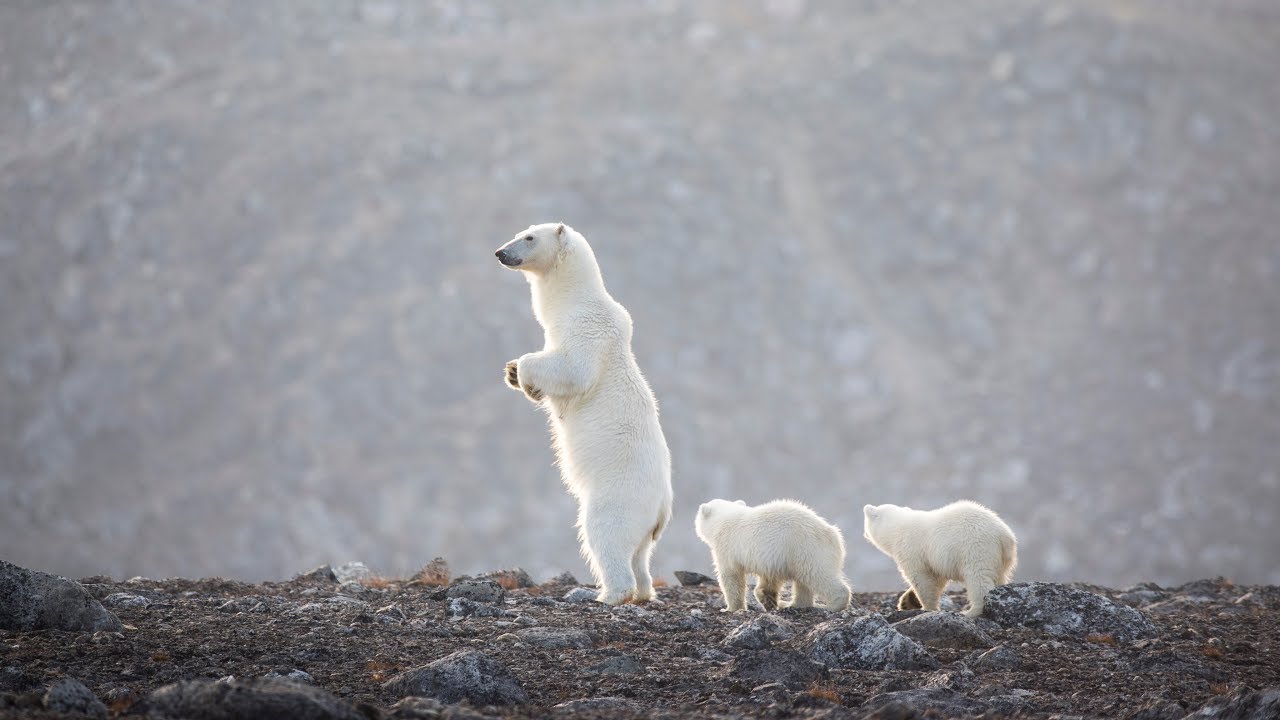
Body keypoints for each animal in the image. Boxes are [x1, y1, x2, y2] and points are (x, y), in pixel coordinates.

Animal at [491, 221, 675, 602]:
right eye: (521, 231)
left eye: (529, 237)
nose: (500, 253)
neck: (575, 299)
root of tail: (663, 508)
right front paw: (513, 373)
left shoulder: (587, 328)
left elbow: (574, 370)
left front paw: (524, 373)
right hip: (645, 523)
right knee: (641, 555)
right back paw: (643, 591)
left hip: (619, 496)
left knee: (605, 534)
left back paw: (604, 594)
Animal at [696, 499, 844, 609]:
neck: (725, 519)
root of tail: (834, 535)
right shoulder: (771, 560)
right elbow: (770, 578)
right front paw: (767, 598)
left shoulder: (727, 547)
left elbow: (731, 576)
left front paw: (731, 608)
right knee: (803, 581)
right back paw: (791, 604)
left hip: (806, 549)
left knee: (817, 575)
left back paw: (834, 604)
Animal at [860, 499, 1018, 617]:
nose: (864, 534)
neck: (897, 528)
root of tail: (1004, 535)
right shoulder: (936, 559)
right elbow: (937, 578)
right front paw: (907, 601)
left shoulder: (911, 550)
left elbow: (922, 579)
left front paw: (927, 608)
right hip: (1001, 558)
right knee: (999, 577)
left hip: (976, 548)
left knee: (978, 578)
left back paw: (971, 611)